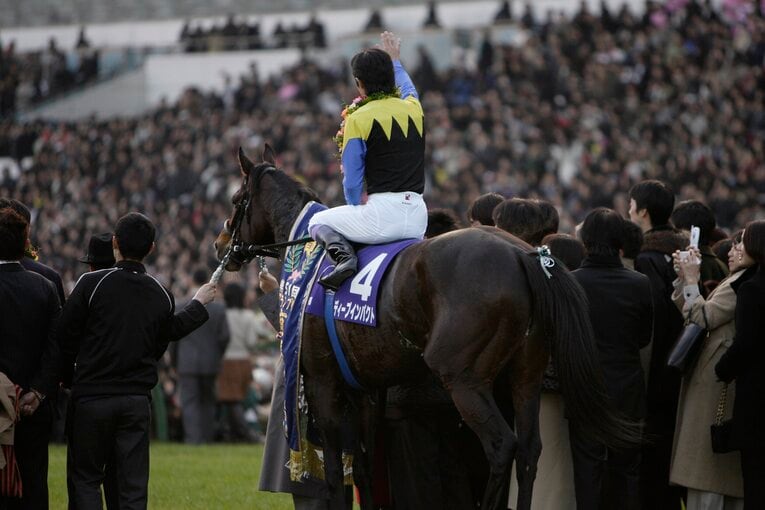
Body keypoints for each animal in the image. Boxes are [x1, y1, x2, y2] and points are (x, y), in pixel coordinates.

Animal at [215, 146, 639, 510]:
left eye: (236, 200)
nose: (221, 245)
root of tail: (525, 255)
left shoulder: (323, 381)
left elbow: (335, 472)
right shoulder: (366, 388)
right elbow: (365, 470)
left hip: (463, 377)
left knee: (503, 445)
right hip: (527, 374)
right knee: (531, 450)